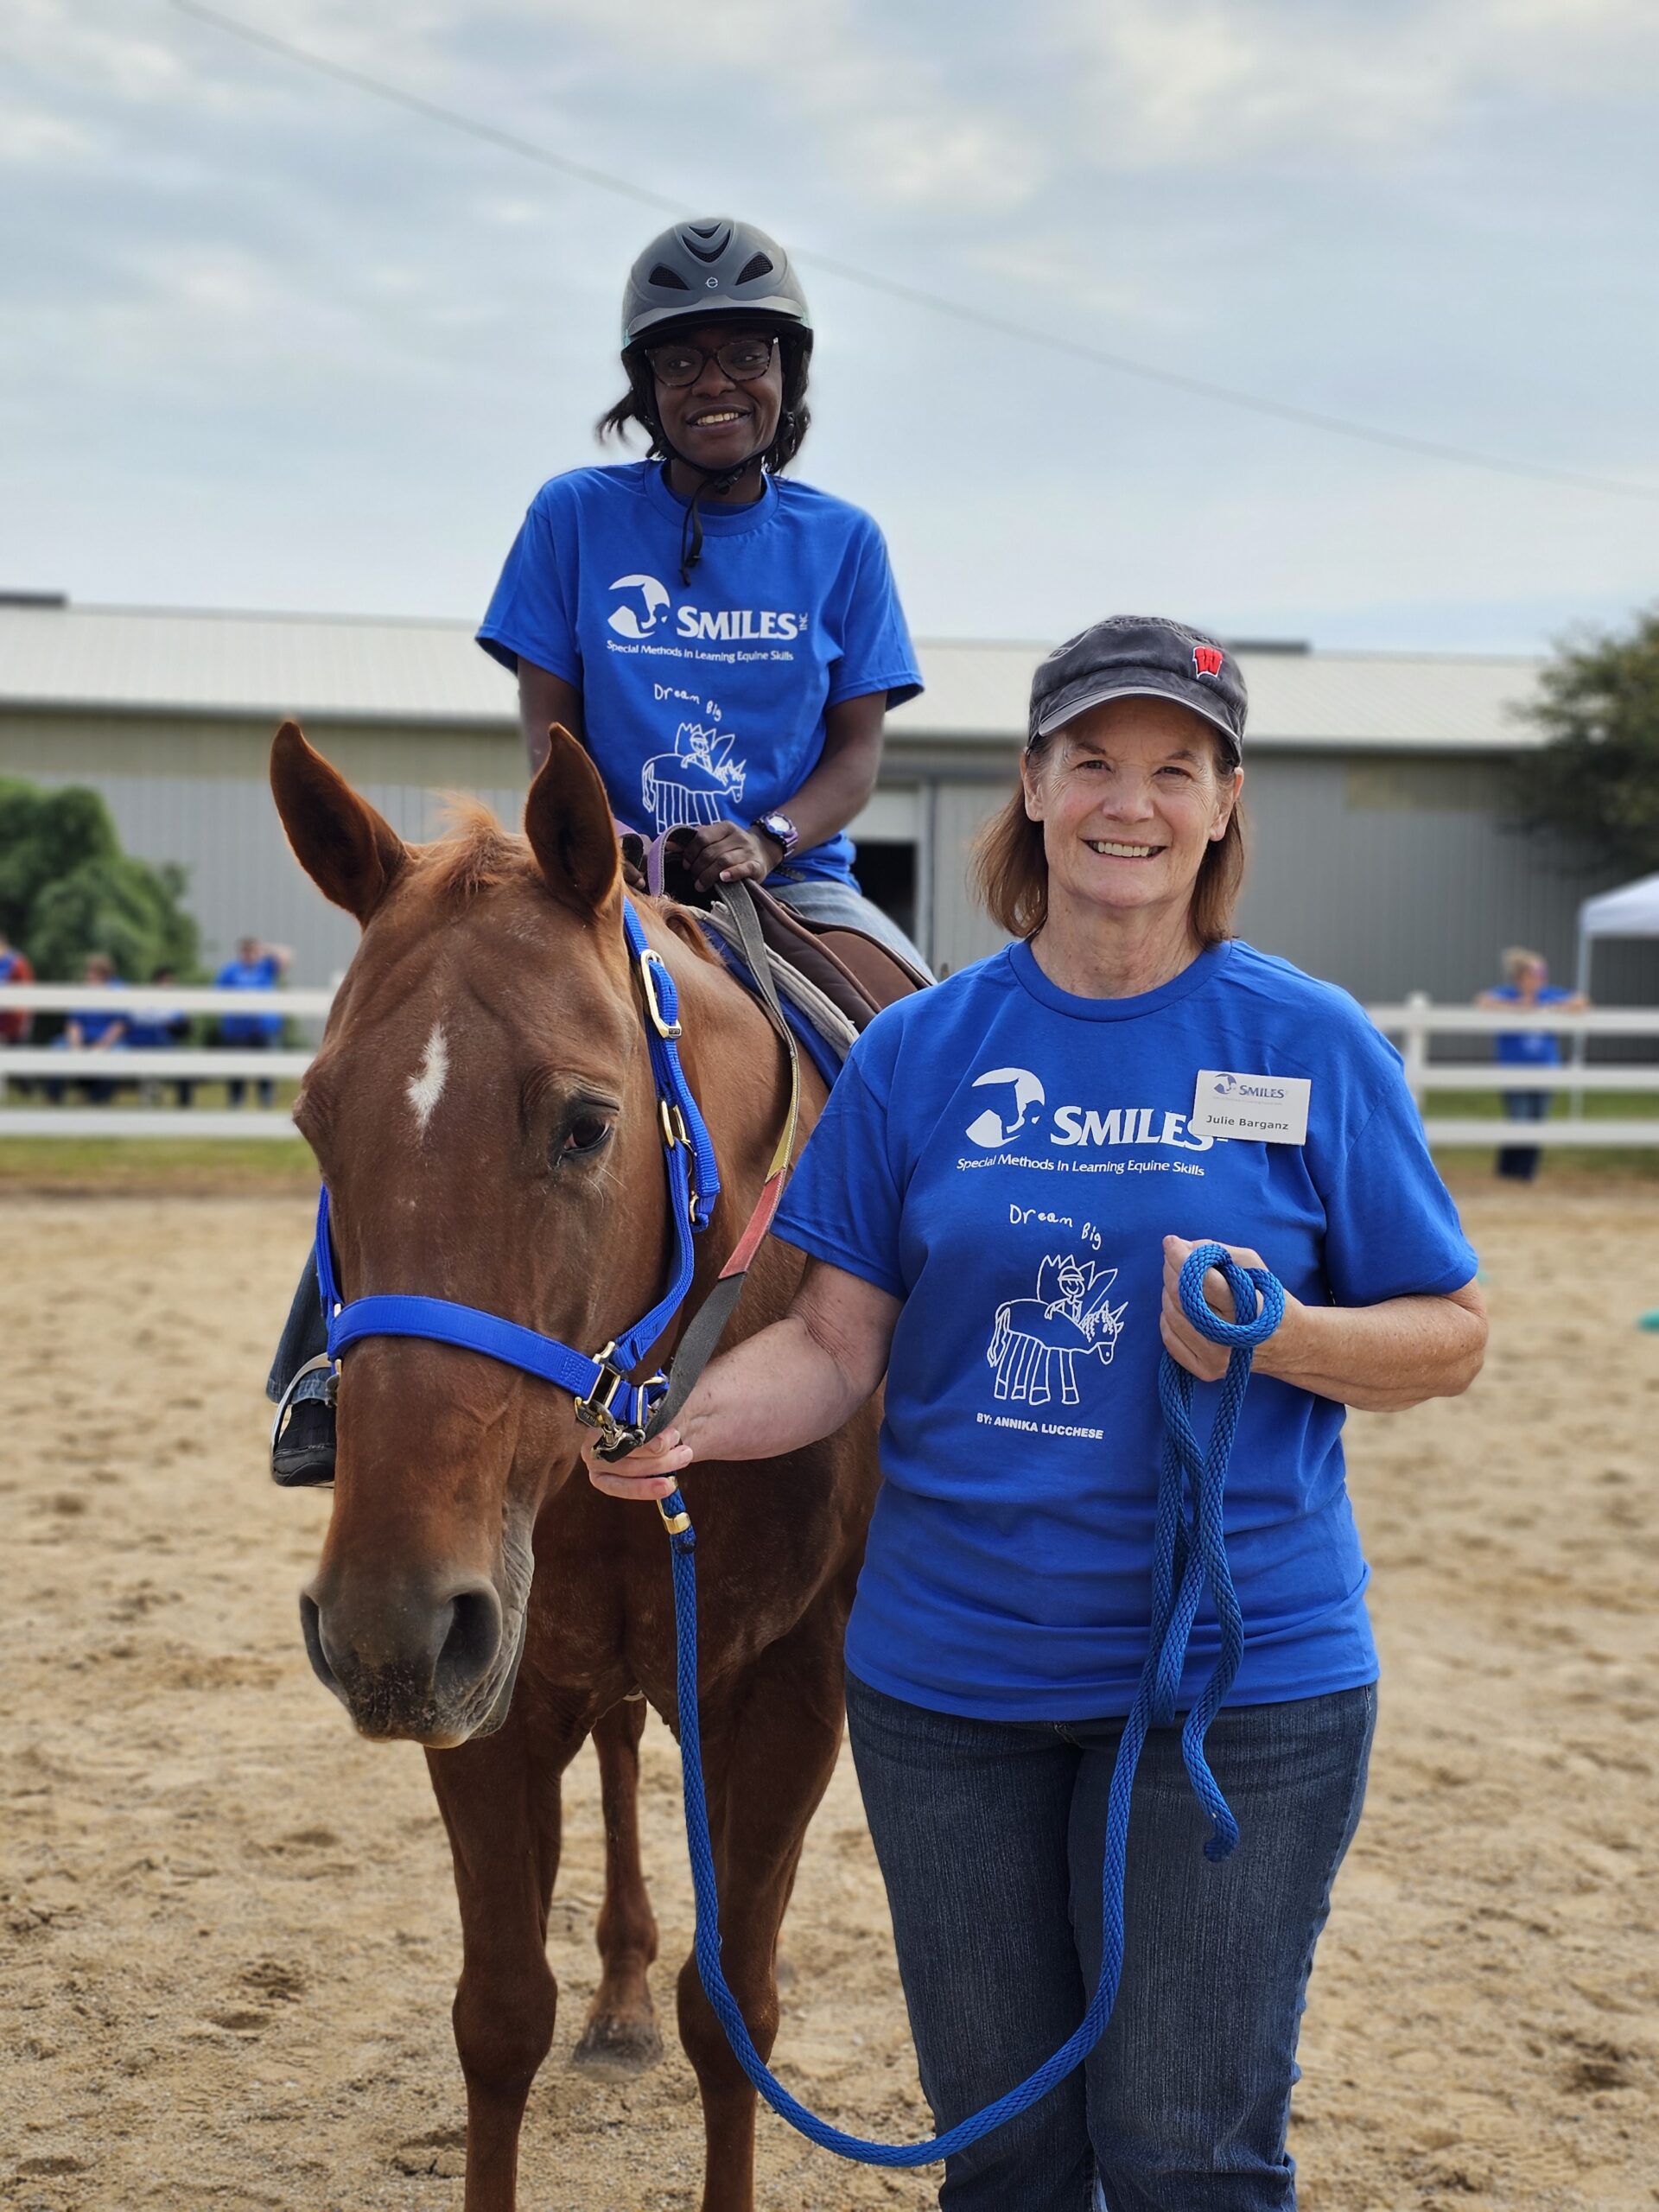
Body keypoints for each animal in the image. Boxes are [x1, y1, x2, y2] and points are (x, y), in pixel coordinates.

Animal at [269, 720, 882, 2212]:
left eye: (587, 1125)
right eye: (317, 1124)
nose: (380, 1624)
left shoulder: (789, 1693)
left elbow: (737, 2016)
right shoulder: (488, 1686)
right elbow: (499, 2019)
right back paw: (618, 1995)